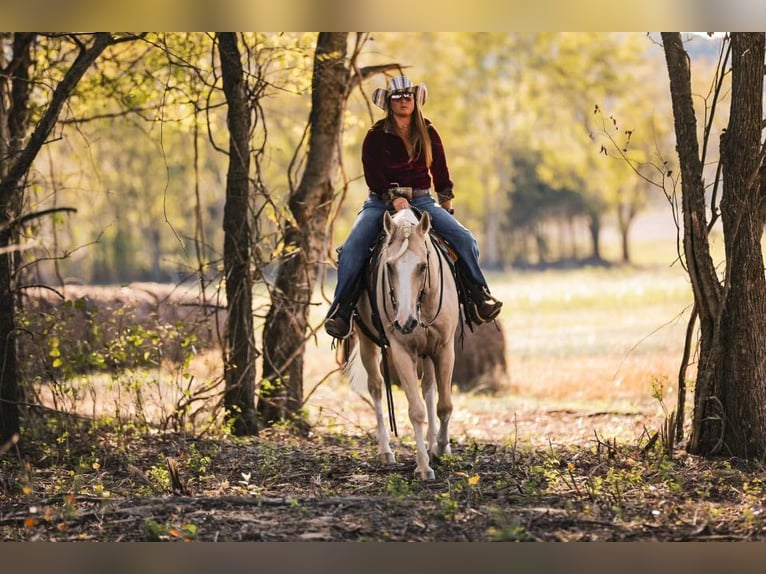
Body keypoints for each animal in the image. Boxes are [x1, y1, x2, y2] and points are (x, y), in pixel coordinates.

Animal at [348, 208, 459, 479]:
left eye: (422, 266)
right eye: (389, 266)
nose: (405, 322)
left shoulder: (444, 348)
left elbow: (444, 405)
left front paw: (441, 447)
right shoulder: (401, 352)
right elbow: (416, 410)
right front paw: (423, 466)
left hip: (428, 353)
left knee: (429, 389)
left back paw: (432, 443)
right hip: (367, 343)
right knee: (376, 387)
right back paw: (386, 450)